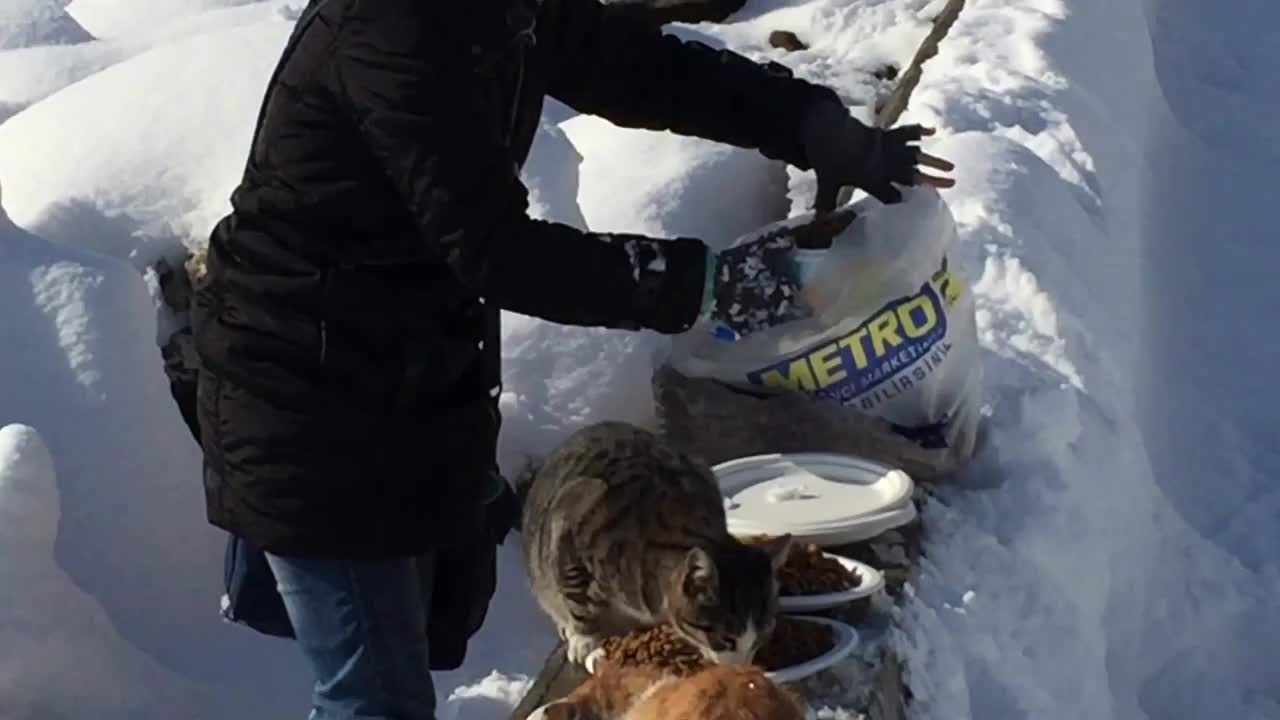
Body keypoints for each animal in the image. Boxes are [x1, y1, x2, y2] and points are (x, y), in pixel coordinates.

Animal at [519, 417, 788, 666]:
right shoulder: (568, 527)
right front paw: (584, 640)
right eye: (726, 639)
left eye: (761, 637)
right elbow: (576, 595)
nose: (743, 667)